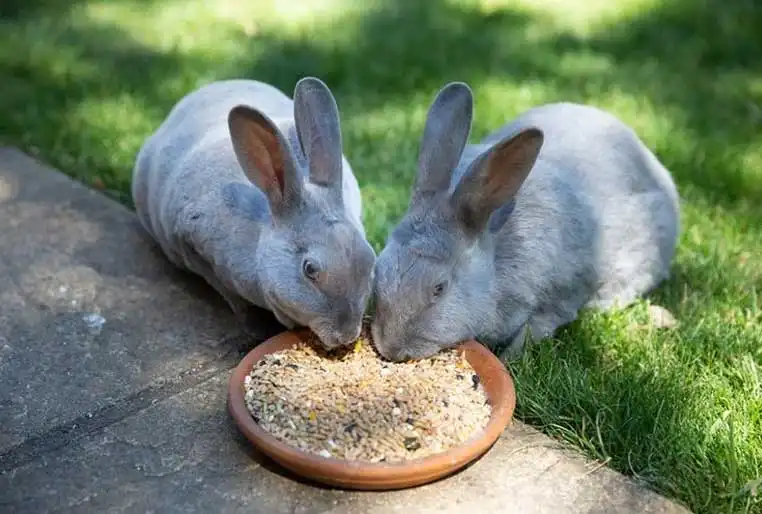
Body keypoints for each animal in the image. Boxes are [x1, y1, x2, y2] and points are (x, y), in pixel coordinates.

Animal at [368, 81, 676, 360]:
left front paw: (510, 360)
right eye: (379, 270)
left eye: (439, 288)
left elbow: (533, 331)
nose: (391, 349)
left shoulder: (558, 299)